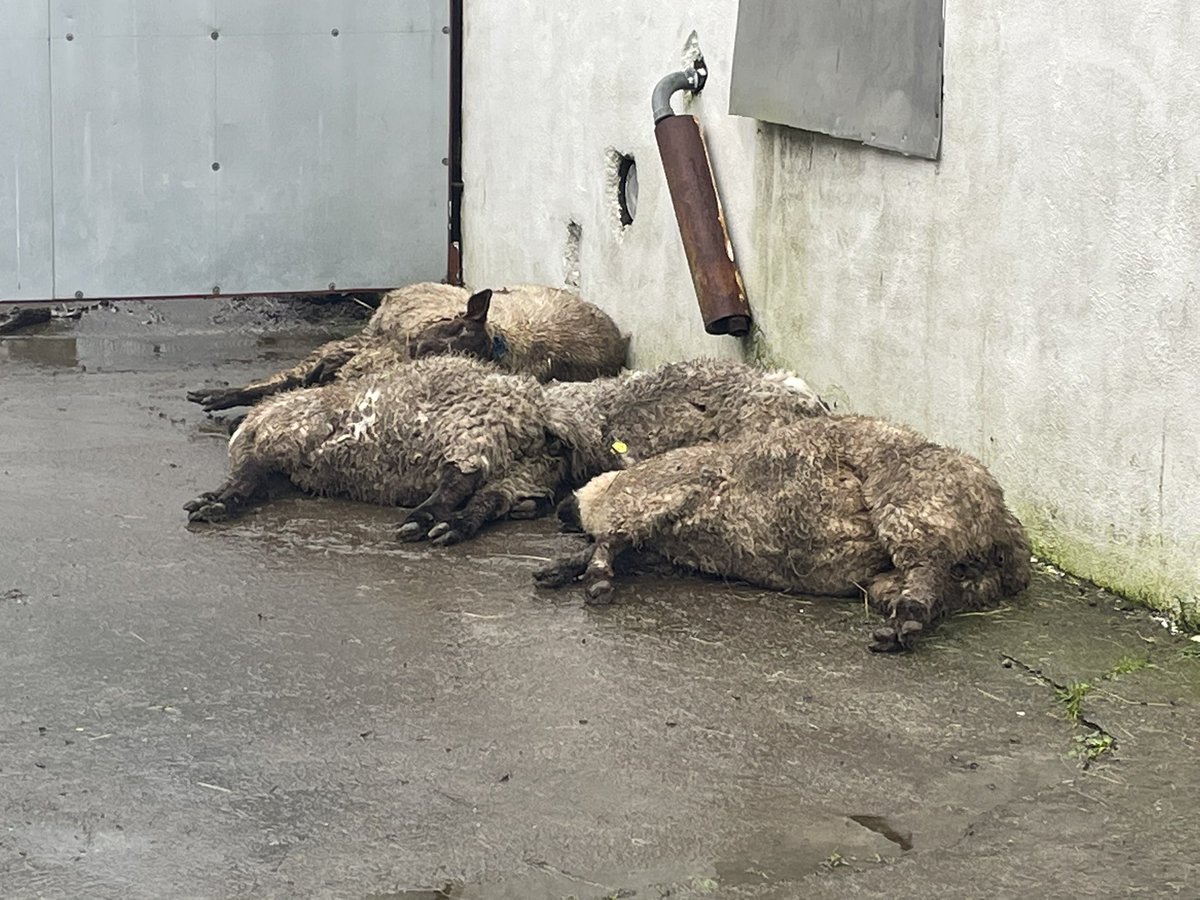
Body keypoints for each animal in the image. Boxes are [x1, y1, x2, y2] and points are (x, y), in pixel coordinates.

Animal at [184, 356, 609, 545]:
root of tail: (541, 412)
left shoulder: (291, 432)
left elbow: (247, 476)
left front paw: (213, 502)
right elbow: (252, 481)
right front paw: (217, 502)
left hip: (477, 430)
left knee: (459, 481)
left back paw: (421, 519)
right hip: (525, 467)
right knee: (487, 499)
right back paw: (452, 526)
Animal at [186, 282, 629, 411]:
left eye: (453, 339)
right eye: (451, 325)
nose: (414, 346)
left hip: (356, 347)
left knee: (303, 375)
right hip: (358, 342)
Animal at [534, 415, 1032, 653]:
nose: (561, 508)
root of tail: (1003, 521)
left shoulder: (663, 494)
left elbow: (610, 542)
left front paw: (591, 577)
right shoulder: (658, 544)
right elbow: (619, 549)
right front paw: (562, 569)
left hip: (914, 505)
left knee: (927, 567)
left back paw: (904, 621)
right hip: (963, 571)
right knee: (944, 586)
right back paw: (907, 617)